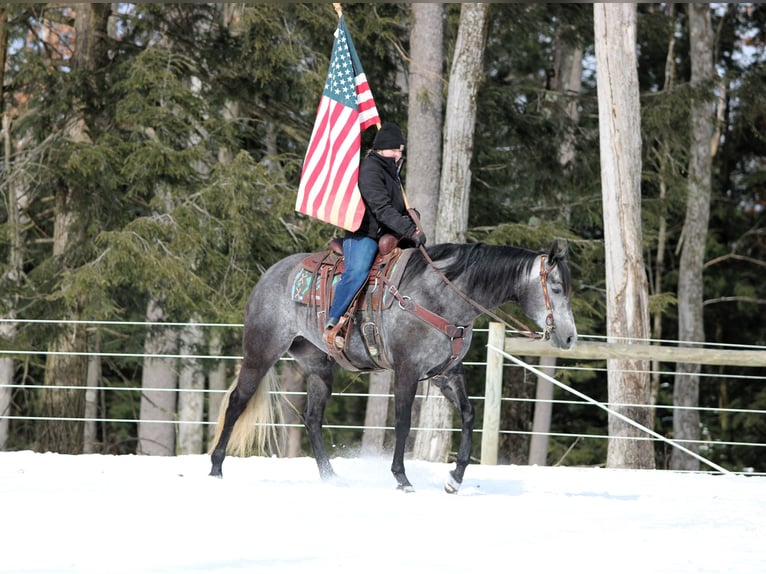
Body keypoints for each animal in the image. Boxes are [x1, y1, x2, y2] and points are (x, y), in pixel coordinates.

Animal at [210, 238, 576, 496]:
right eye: (557, 288)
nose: (570, 337)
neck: (440, 297)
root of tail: (269, 275)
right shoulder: (407, 371)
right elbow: (402, 422)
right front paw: (402, 478)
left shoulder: (447, 373)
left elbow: (469, 415)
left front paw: (455, 478)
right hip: (261, 352)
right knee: (237, 403)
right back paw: (215, 468)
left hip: (317, 366)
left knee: (312, 418)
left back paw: (331, 477)